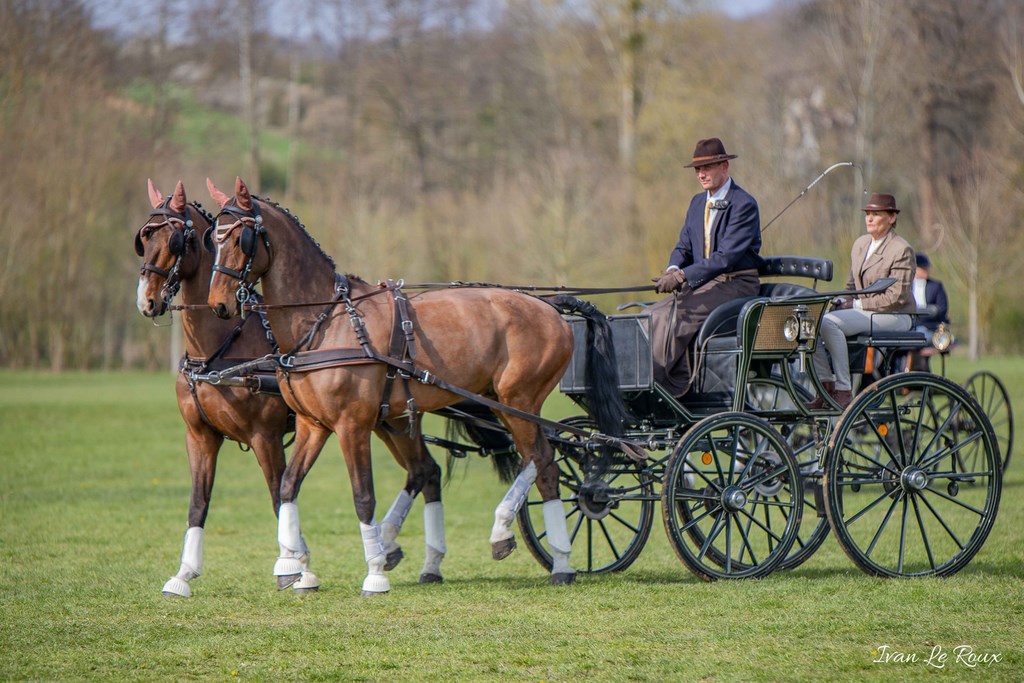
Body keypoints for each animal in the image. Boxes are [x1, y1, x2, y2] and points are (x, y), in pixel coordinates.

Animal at [134, 179, 315, 593]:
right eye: (144, 237)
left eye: (175, 241)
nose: (146, 301)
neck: (217, 350)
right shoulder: (200, 436)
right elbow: (198, 503)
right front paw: (184, 573)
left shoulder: (266, 437)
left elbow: (279, 495)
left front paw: (294, 565)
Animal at [204, 179, 626, 593]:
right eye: (214, 238)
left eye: (240, 237)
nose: (218, 305)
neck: (326, 320)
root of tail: (549, 305)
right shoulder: (314, 425)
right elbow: (288, 487)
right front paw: (293, 566)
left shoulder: (352, 425)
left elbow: (363, 496)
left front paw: (375, 573)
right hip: (495, 404)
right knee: (536, 463)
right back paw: (544, 556)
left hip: (519, 400)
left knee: (542, 462)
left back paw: (537, 549)